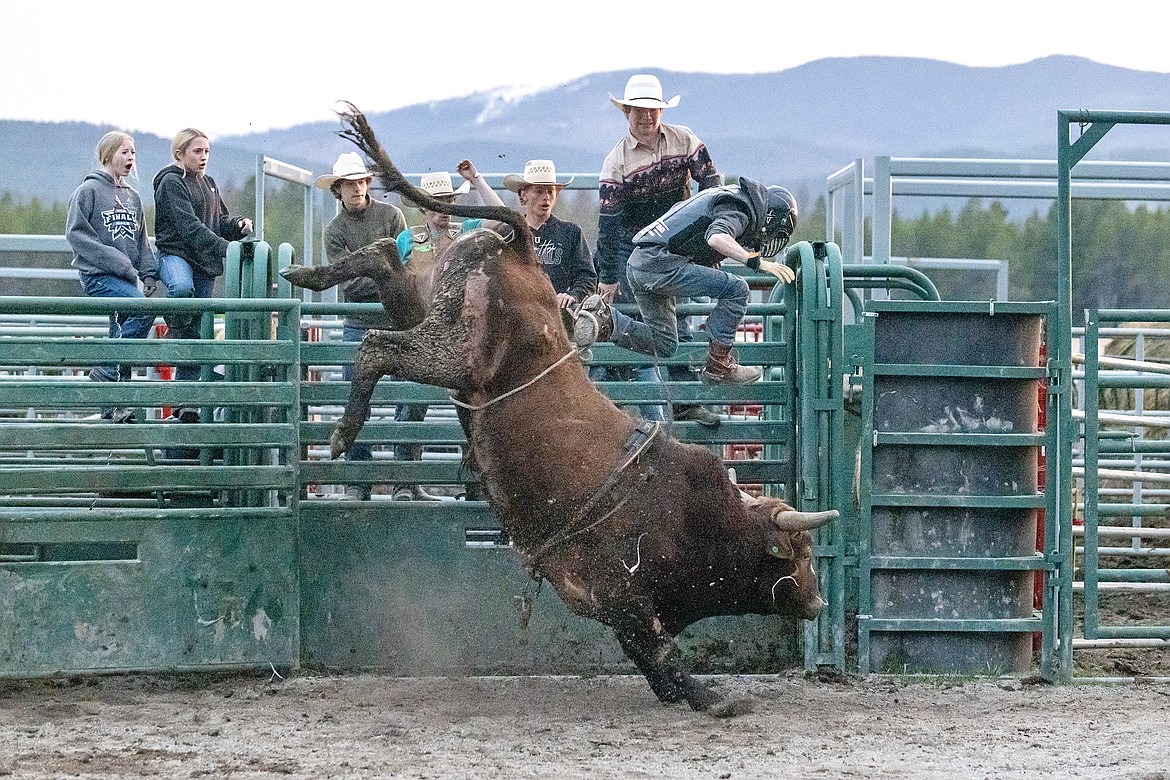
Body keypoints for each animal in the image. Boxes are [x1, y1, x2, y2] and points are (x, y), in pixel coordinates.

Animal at [280, 105, 833, 720]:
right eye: (798, 552)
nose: (818, 602)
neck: (702, 515)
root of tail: (522, 247)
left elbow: (650, 659)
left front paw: (686, 693)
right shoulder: (624, 595)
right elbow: (659, 651)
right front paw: (711, 697)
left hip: (428, 303)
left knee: (383, 262)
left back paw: (308, 277)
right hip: (456, 355)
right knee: (377, 346)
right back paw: (341, 432)